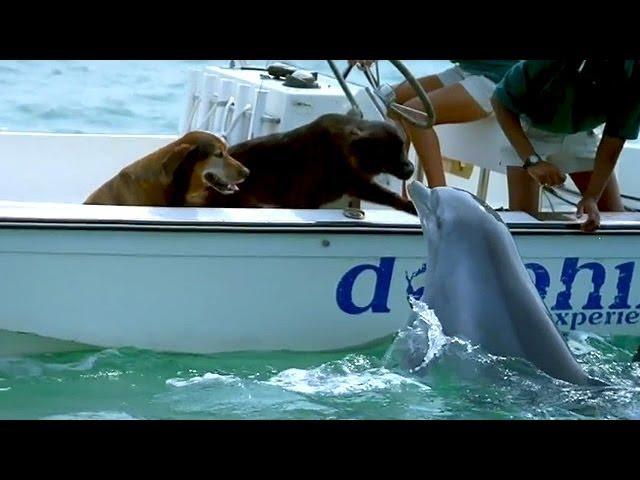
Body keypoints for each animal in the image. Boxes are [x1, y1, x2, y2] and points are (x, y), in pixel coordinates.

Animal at [209, 113, 416, 213]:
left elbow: (388, 195)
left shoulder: (356, 183)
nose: (411, 169)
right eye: (390, 153)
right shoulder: (304, 201)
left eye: (403, 148)